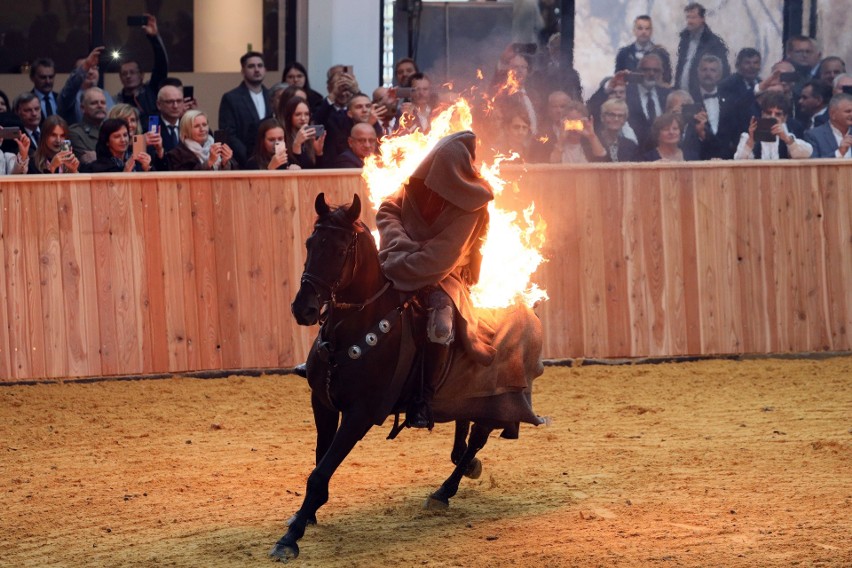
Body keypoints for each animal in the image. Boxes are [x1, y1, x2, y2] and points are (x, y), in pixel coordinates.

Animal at [276, 193, 548, 560]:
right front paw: (307, 514)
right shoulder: (323, 403)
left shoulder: (360, 415)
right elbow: (321, 459)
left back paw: (444, 490)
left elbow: (321, 472)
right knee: (463, 435)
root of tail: (525, 308)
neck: (352, 331)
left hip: (497, 398)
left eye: (340, 249)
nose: (303, 308)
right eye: (309, 243)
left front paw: (291, 537)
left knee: (477, 437)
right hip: (466, 397)